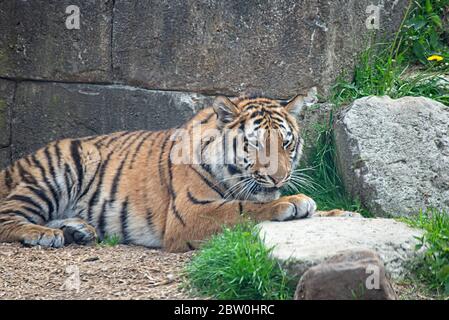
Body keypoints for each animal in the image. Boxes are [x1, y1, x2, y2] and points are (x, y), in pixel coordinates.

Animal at [0, 88, 354, 252]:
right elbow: (244, 207)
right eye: (255, 144)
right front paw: (292, 202)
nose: (280, 178)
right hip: (60, 170)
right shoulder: (190, 212)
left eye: (286, 143)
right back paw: (45, 234)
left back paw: (79, 230)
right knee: (7, 216)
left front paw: (343, 214)